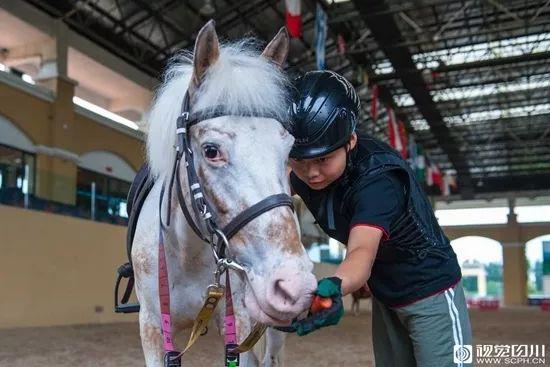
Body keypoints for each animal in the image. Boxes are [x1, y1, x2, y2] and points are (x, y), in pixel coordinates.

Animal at [131, 21, 316, 366]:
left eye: (287, 151)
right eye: (211, 150)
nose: (293, 284)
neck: (187, 253)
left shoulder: (239, 323)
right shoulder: (151, 326)